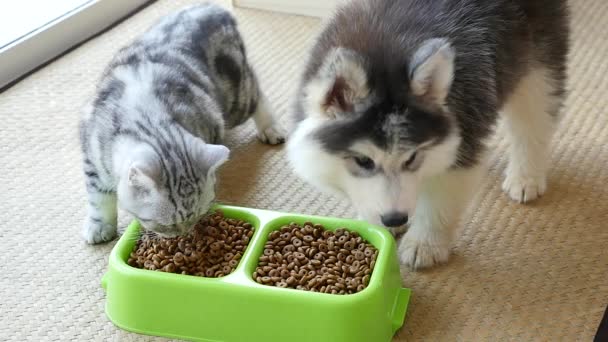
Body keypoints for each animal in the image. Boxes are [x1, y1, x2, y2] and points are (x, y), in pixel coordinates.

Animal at [79, 3, 284, 243]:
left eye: (198, 215)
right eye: (166, 224)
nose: (183, 234)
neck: (149, 118)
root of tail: (214, 8)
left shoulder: (213, 120)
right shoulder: (91, 155)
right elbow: (99, 198)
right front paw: (99, 226)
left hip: (236, 100)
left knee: (257, 91)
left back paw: (271, 128)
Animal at [288, 0, 568, 268]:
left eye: (411, 158)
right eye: (363, 161)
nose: (395, 218)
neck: (385, 50)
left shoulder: (463, 135)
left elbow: (440, 200)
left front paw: (425, 243)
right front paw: (375, 226)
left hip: (537, 60)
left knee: (533, 120)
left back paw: (526, 177)